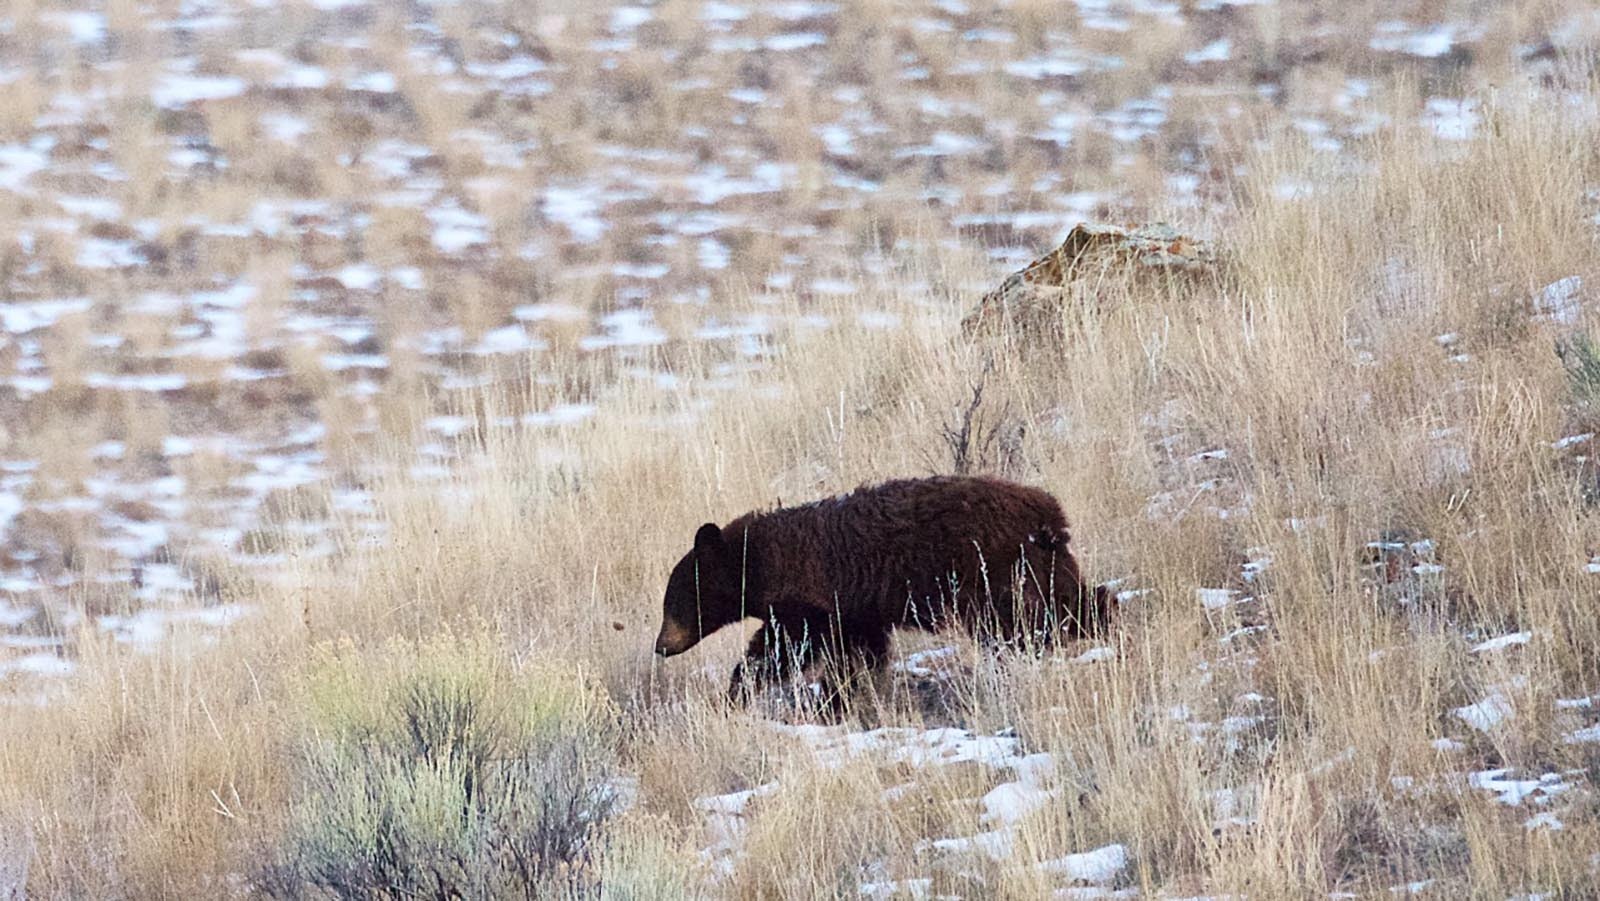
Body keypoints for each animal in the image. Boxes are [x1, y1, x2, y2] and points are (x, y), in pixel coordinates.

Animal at [653, 475, 1109, 707]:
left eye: (674, 602)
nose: (661, 645)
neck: (759, 560)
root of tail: (1048, 512)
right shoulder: (857, 610)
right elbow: (863, 651)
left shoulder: (813, 603)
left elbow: (784, 648)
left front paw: (742, 688)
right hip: (1037, 564)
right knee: (1070, 599)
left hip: (996, 571)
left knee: (1033, 613)